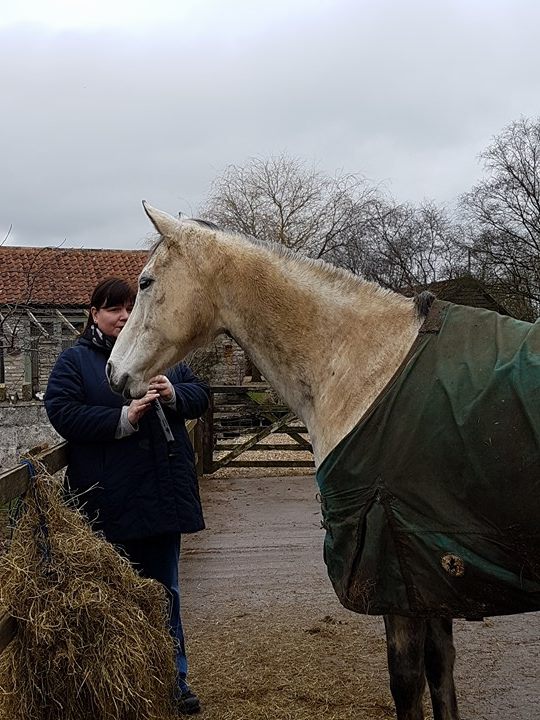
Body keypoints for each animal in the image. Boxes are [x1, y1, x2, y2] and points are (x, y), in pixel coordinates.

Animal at [108, 202, 540, 720]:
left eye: (146, 282)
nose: (113, 372)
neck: (365, 366)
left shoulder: (396, 576)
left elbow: (408, 682)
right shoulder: (428, 579)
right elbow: (441, 672)